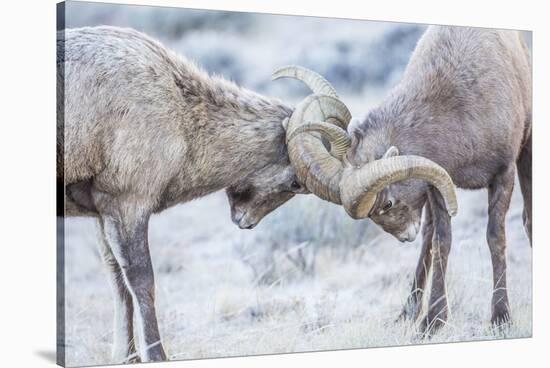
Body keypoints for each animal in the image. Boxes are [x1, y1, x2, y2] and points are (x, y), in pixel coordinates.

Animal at [59, 25, 310, 362]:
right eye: (296, 184)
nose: (245, 221)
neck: (181, 110)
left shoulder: (103, 215)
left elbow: (117, 281)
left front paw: (128, 356)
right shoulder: (127, 205)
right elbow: (141, 280)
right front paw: (157, 356)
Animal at [278, 26, 532, 334]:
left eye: (387, 203)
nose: (404, 236)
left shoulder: (503, 175)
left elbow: (496, 238)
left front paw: (500, 319)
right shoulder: (438, 186)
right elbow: (441, 243)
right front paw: (432, 322)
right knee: (428, 240)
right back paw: (408, 312)